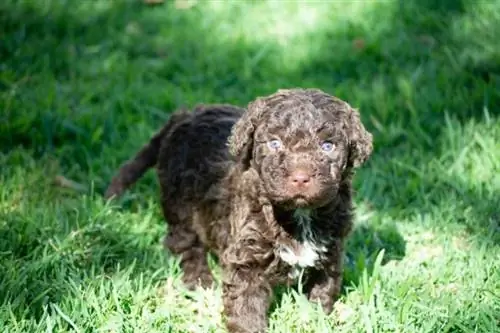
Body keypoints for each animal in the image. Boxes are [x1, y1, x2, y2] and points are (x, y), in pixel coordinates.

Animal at [104, 88, 372, 332]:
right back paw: (200, 283)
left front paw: (315, 321)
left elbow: (322, 291)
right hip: (180, 205)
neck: (298, 214)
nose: (300, 177)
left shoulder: (331, 251)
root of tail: (186, 115)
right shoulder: (246, 258)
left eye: (328, 146)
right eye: (274, 143)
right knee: (185, 245)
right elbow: (246, 304)